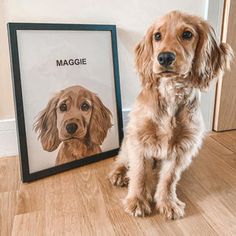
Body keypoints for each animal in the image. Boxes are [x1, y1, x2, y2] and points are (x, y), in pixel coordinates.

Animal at [109, 10, 233, 219]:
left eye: (187, 34)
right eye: (157, 36)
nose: (165, 57)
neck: (171, 93)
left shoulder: (182, 147)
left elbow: (169, 178)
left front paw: (168, 203)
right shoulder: (139, 139)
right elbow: (139, 173)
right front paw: (137, 201)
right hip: (127, 142)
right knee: (122, 159)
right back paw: (118, 174)